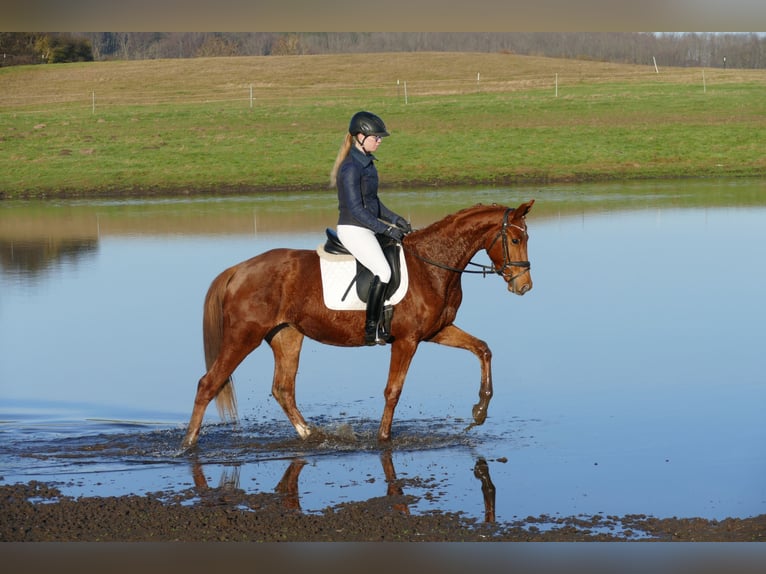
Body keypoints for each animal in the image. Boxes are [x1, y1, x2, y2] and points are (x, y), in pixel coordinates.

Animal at [181, 199, 534, 450]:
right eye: (516, 239)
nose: (524, 286)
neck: (431, 265)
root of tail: (238, 270)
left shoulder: (435, 331)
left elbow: (483, 349)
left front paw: (480, 410)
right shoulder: (407, 340)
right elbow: (393, 390)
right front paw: (383, 439)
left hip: (287, 336)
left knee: (283, 389)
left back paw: (311, 435)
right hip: (244, 336)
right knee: (208, 384)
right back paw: (188, 444)